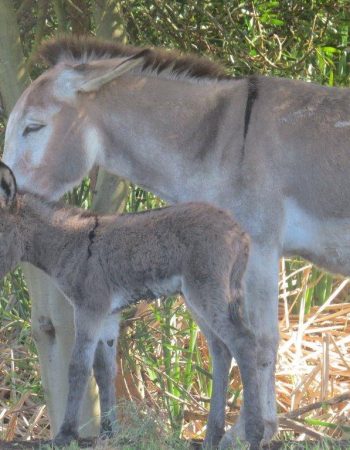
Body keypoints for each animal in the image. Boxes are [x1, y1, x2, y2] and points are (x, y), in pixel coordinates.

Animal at [0, 163, 262, 450]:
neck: (70, 245)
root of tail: (239, 232)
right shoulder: (108, 317)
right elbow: (104, 371)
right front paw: (108, 432)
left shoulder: (89, 309)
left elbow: (78, 367)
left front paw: (65, 435)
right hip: (197, 298)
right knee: (221, 350)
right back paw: (212, 436)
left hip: (206, 291)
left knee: (244, 343)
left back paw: (254, 434)